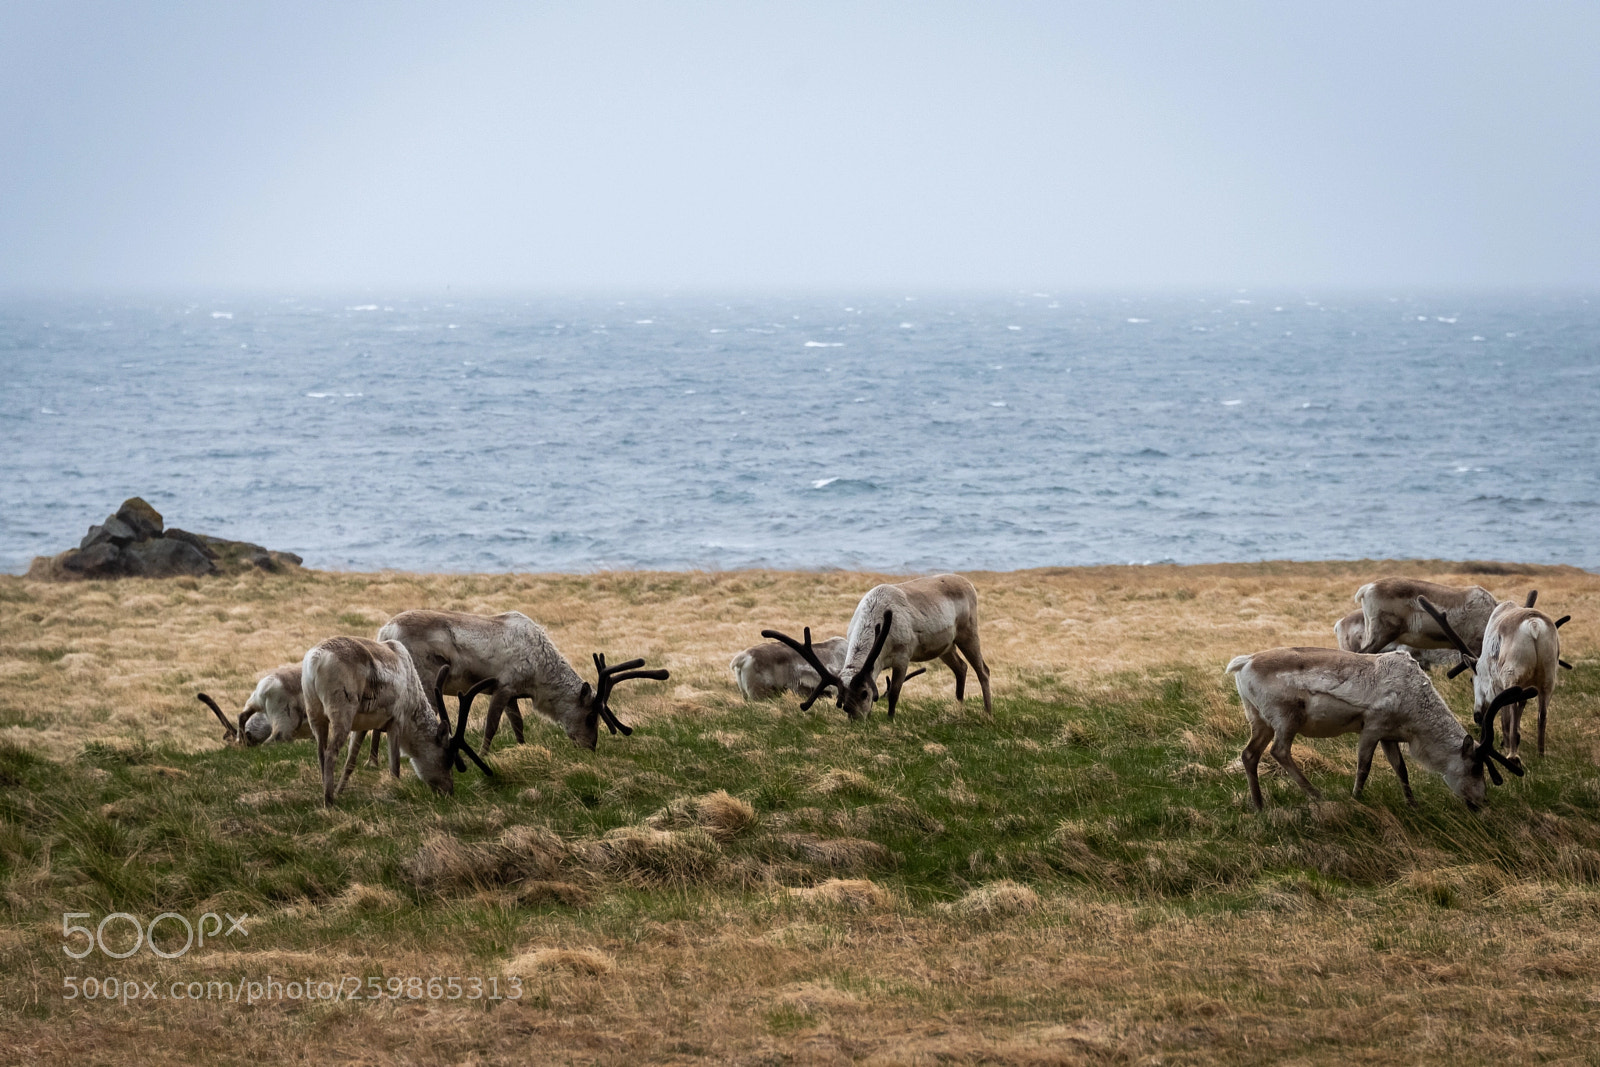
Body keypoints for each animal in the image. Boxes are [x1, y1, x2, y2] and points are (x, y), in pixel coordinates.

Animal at [300, 635, 495, 807]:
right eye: (448, 758)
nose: (448, 791)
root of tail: (316, 659)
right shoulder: (396, 721)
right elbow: (394, 766)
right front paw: (395, 793)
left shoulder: (362, 726)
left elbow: (350, 762)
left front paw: (340, 791)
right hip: (342, 712)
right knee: (330, 752)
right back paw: (329, 801)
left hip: (315, 713)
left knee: (321, 752)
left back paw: (327, 793)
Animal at [376, 610, 668, 751]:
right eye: (589, 716)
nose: (591, 746)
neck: (541, 672)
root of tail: (385, 631)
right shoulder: (503, 686)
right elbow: (492, 726)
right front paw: (485, 755)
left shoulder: (513, 694)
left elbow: (518, 726)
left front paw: (522, 751)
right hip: (423, 684)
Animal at [760, 573, 990, 720]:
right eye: (842, 700)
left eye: (864, 693)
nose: (857, 719)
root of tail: (968, 583)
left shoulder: (903, 656)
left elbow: (895, 692)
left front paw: (890, 719)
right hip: (945, 646)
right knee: (961, 667)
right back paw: (958, 707)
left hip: (968, 631)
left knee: (983, 670)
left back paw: (988, 712)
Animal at [1227, 646, 1529, 811]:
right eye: (1476, 767)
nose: (1482, 802)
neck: (1414, 699)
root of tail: (1244, 662)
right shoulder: (1372, 727)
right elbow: (1364, 766)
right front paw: (1356, 798)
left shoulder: (1389, 736)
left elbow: (1401, 769)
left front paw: (1413, 804)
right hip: (1286, 718)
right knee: (1279, 751)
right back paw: (1317, 795)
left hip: (1259, 720)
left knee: (1249, 754)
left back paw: (1259, 805)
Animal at [1420, 592, 1572, 763]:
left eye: (1471, 680)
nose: (1477, 716)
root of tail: (1534, 625)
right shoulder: (1528, 685)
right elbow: (1521, 706)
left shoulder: (1498, 684)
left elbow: (1505, 715)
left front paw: (1507, 743)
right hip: (1549, 676)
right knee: (1542, 714)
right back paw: (1541, 754)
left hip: (1512, 673)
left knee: (1513, 708)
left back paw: (1513, 755)